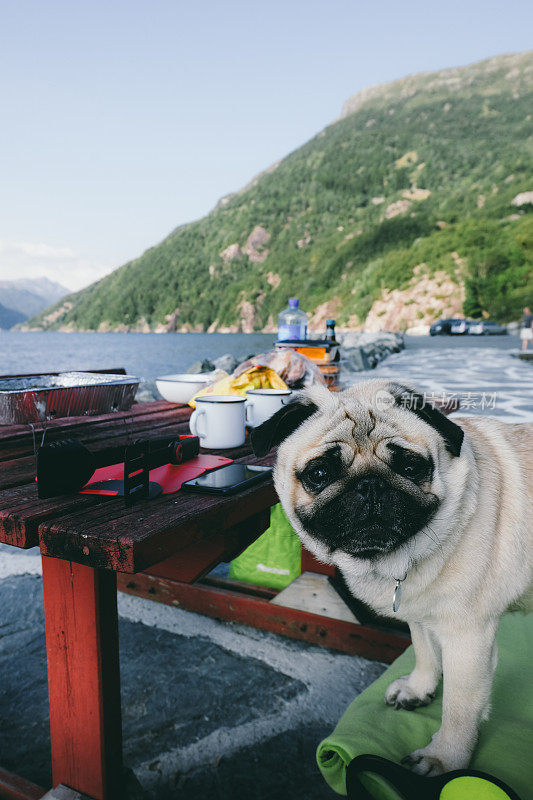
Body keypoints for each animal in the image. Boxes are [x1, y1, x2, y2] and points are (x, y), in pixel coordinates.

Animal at [250, 382, 532, 776]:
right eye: (319, 474)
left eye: (411, 467)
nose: (370, 485)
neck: (394, 561)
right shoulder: (420, 610)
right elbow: (425, 650)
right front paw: (420, 688)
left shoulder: (468, 637)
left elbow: (459, 708)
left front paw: (445, 758)